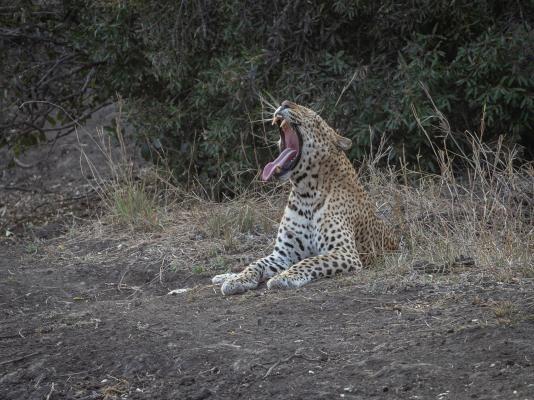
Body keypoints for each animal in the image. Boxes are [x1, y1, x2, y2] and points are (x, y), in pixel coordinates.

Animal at [211, 99, 400, 294]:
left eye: (313, 116)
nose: (285, 103)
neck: (305, 192)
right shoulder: (282, 255)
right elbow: (256, 263)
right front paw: (238, 280)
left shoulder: (345, 252)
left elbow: (310, 261)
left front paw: (284, 277)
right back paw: (224, 276)